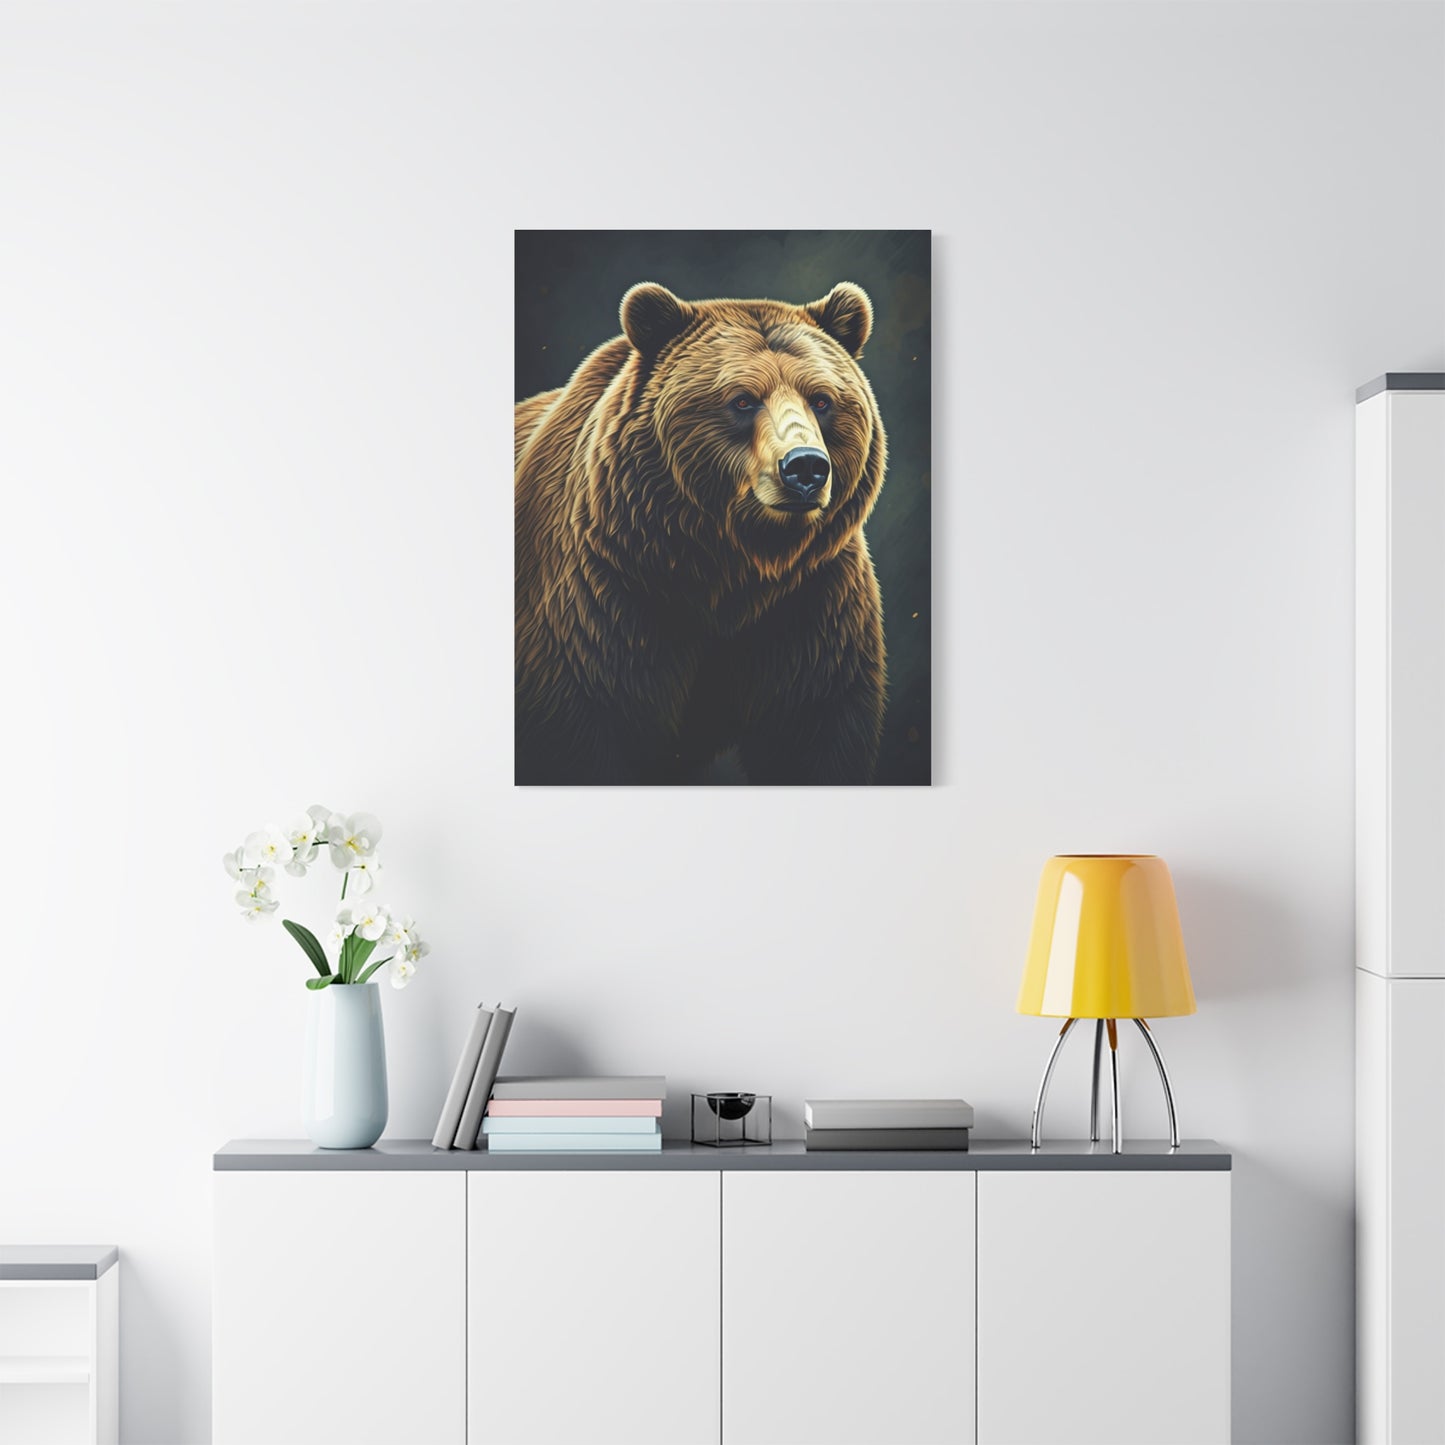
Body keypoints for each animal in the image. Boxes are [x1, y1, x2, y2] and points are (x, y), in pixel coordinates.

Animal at [515, 280, 888, 785]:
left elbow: (815, 735)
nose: (805, 467)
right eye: (743, 399)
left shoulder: (812, 605)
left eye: (822, 399)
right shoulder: (602, 600)